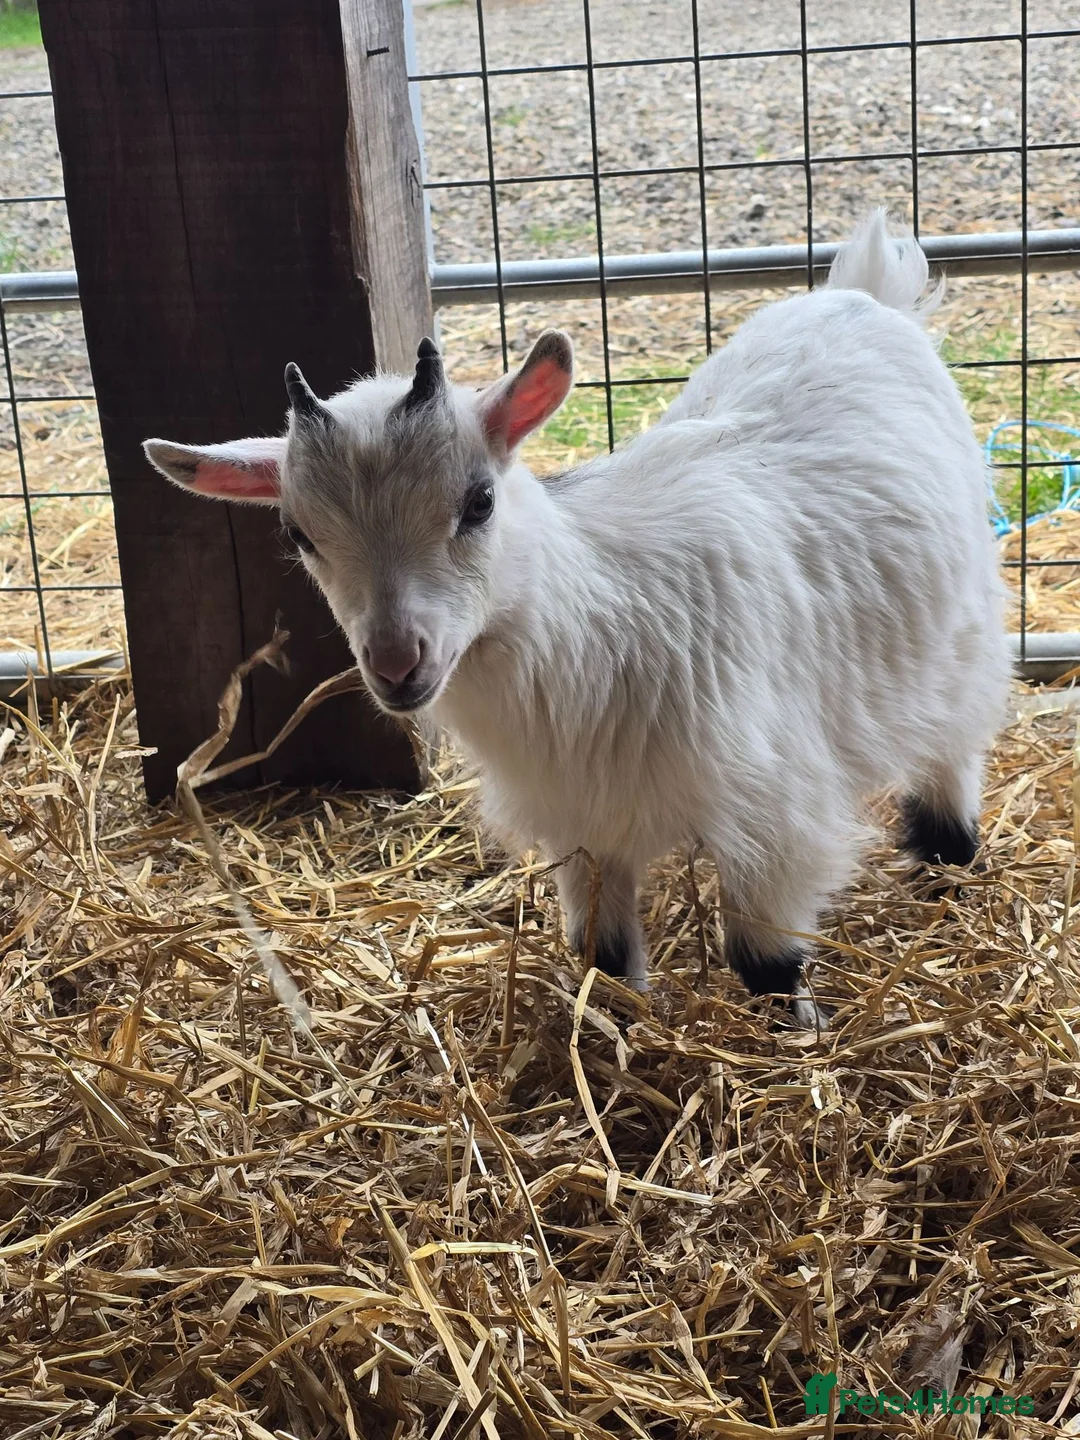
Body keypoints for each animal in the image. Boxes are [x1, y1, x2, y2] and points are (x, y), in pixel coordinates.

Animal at [145, 209, 1011, 1023]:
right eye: (299, 534)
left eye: (479, 501)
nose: (396, 663)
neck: (600, 623)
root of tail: (863, 292)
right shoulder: (579, 824)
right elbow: (604, 952)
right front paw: (617, 1024)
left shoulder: (776, 813)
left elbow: (766, 958)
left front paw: (797, 1036)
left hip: (958, 634)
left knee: (953, 740)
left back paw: (948, 853)